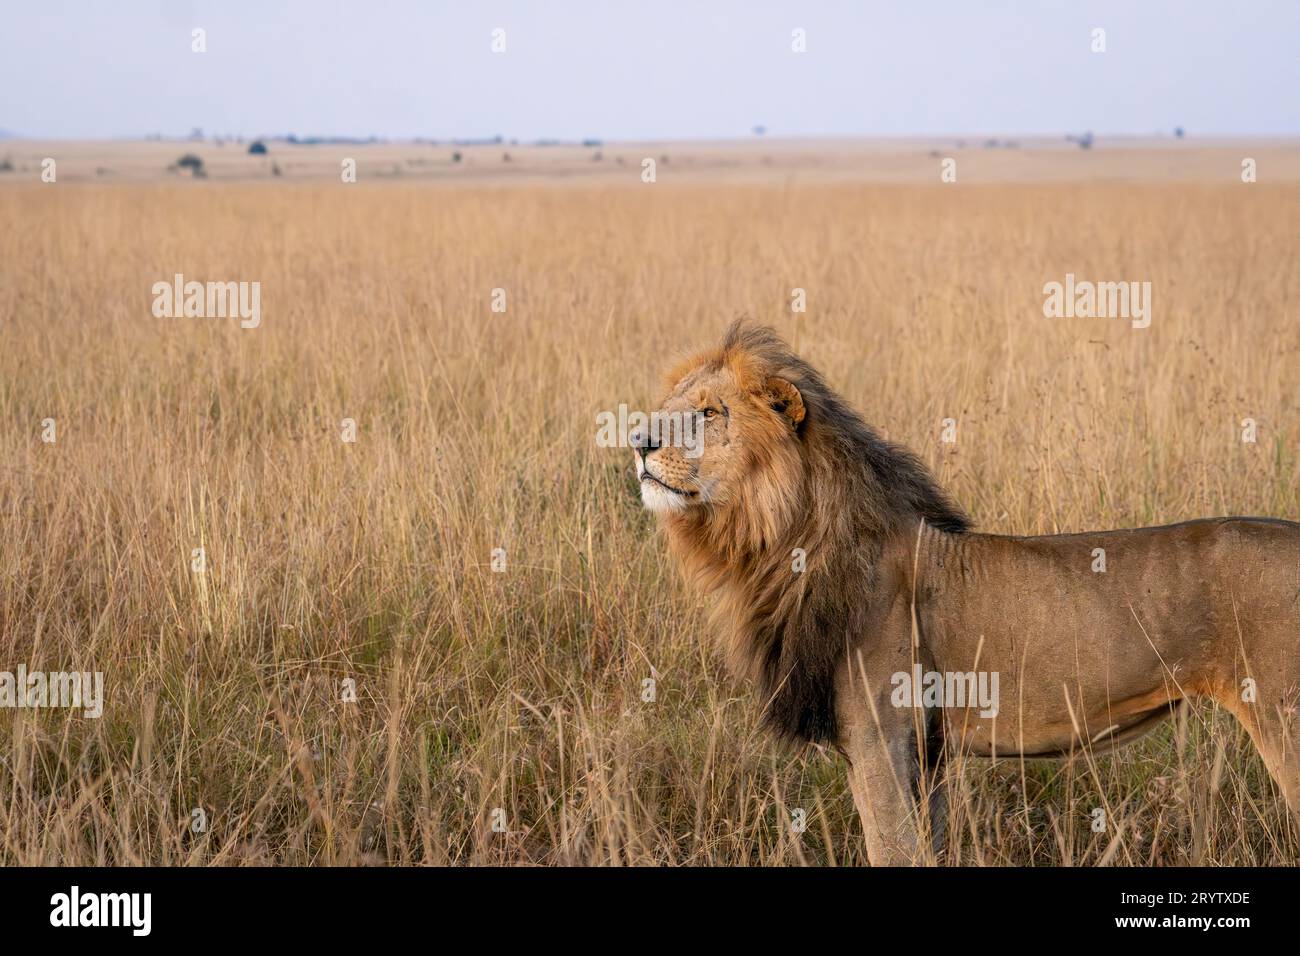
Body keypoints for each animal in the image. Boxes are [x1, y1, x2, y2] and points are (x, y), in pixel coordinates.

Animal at [634, 321, 1300, 865]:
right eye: (669, 408)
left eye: (710, 412)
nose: (637, 439)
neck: (775, 544)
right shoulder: (923, 757)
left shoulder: (881, 740)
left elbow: (892, 851)